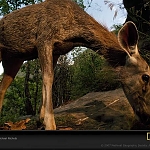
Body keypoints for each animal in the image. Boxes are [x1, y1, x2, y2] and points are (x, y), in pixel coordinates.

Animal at [0, 0, 150, 129]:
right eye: (146, 77)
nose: (146, 116)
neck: (74, 33)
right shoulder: (43, 39)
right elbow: (48, 79)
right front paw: (50, 124)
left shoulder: (57, 51)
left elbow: (47, 80)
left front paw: (41, 120)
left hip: (13, 60)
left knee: (2, 88)